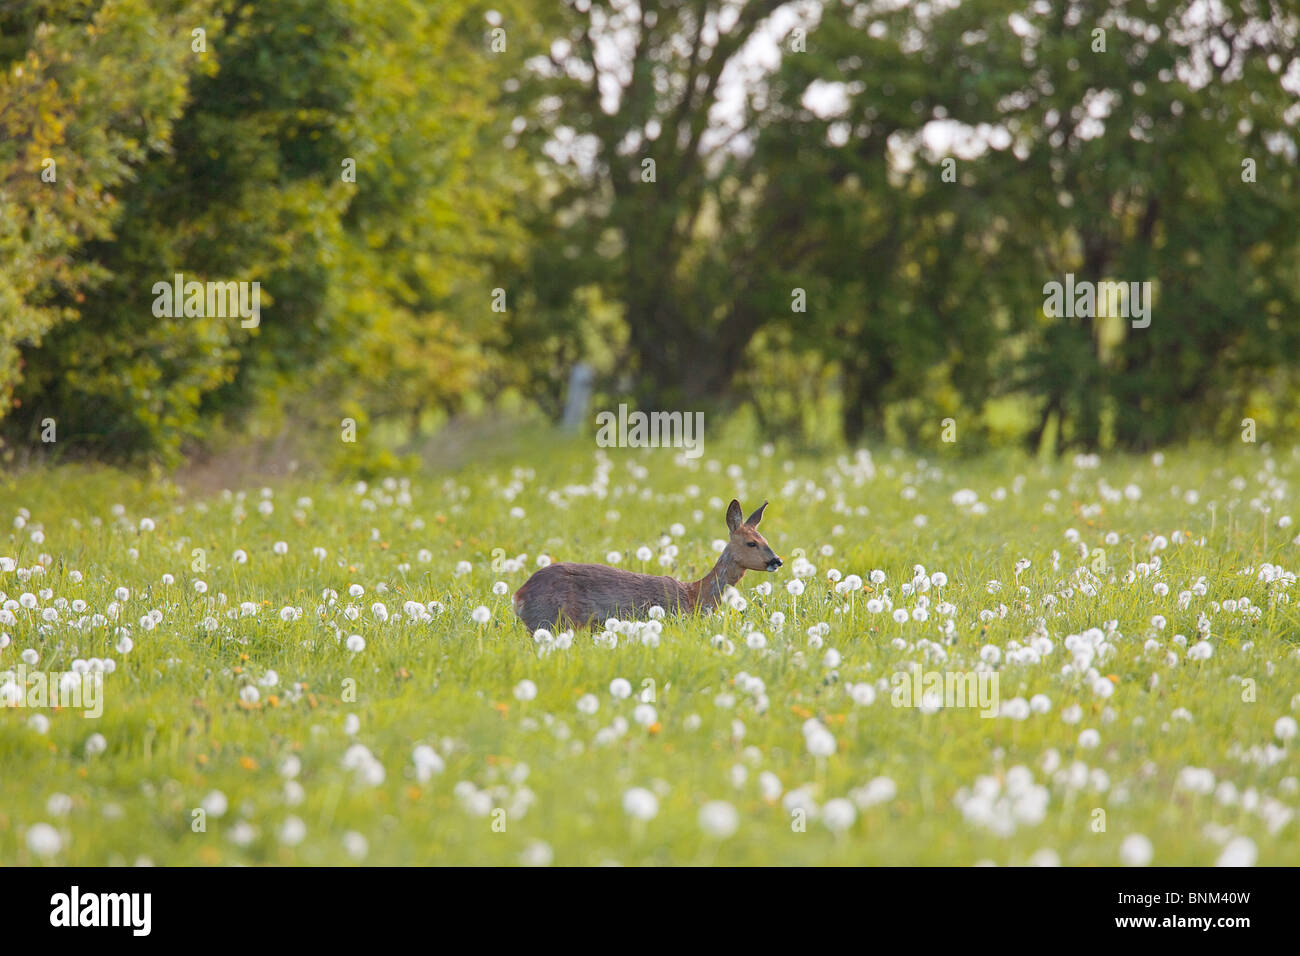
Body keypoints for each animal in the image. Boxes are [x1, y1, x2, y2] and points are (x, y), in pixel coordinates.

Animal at [512, 498, 782, 633]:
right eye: (751, 543)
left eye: (766, 540)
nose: (777, 561)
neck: (694, 596)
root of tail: (518, 596)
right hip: (550, 620)